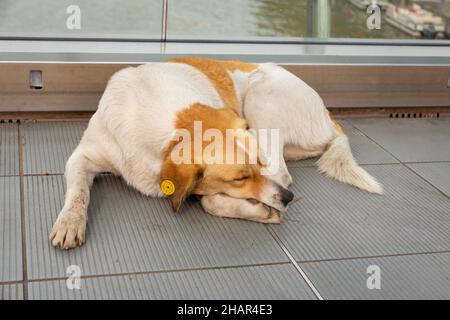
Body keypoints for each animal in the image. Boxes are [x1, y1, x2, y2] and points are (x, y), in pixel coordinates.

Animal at [49, 57, 382, 250]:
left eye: (257, 164)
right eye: (240, 177)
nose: (288, 199)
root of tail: (328, 114)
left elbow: (208, 199)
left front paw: (256, 209)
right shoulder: (81, 156)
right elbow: (78, 192)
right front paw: (69, 222)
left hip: (263, 98)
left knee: (280, 171)